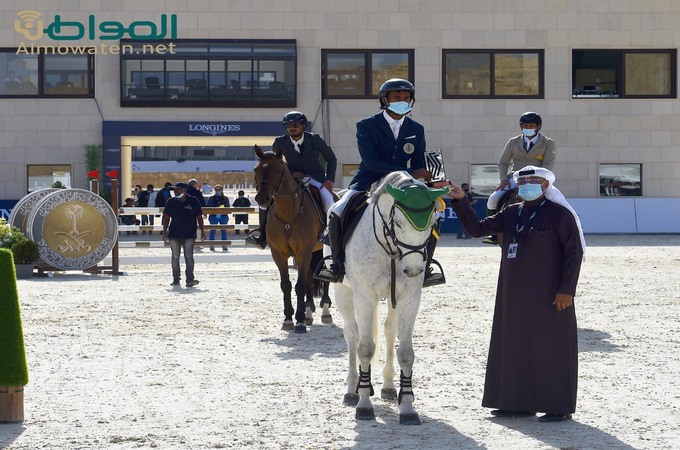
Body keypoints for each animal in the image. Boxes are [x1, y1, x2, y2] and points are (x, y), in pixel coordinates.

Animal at [252, 146, 332, 332]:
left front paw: (300, 321)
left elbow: (300, 285)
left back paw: (325, 311)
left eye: (278, 170)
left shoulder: (303, 252)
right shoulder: (278, 254)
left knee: (323, 277)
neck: (288, 215)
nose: (261, 199)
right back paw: (309, 312)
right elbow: (287, 285)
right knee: (310, 278)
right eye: (256, 169)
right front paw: (289, 319)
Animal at [332, 171, 448, 424]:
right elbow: (365, 348)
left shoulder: (410, 299)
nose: (413, 270)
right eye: (399, 223)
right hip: (344, 293)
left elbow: (405, 353)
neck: (391, 249)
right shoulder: (365, 297)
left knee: (388, 331)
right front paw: (364, 405)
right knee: (352, 334)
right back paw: (352, 390)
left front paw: (407, 408)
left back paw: (387, 386)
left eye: (432, 224)